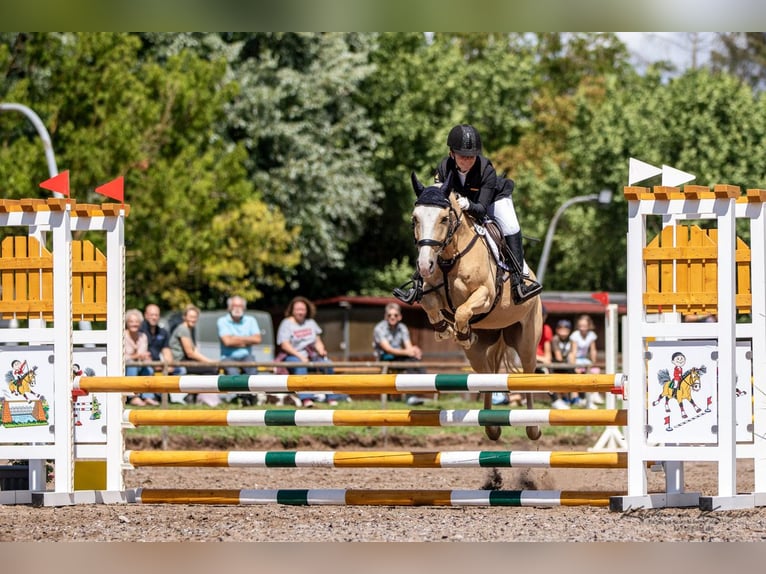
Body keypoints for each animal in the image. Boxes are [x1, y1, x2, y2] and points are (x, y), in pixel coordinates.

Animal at [412, 173, 544, 444]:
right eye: (415, 218)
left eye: (444, 218)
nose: (424, 265)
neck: (450, 257)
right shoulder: (431, 291)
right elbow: (431, 303)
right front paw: (444, 329)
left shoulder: (485, 294)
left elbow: (464, 310)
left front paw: (461, 333)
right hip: (477, 354)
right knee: (486, 376)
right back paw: (492, 427)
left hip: (527, 341)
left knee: (527, 376)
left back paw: (532, 427)